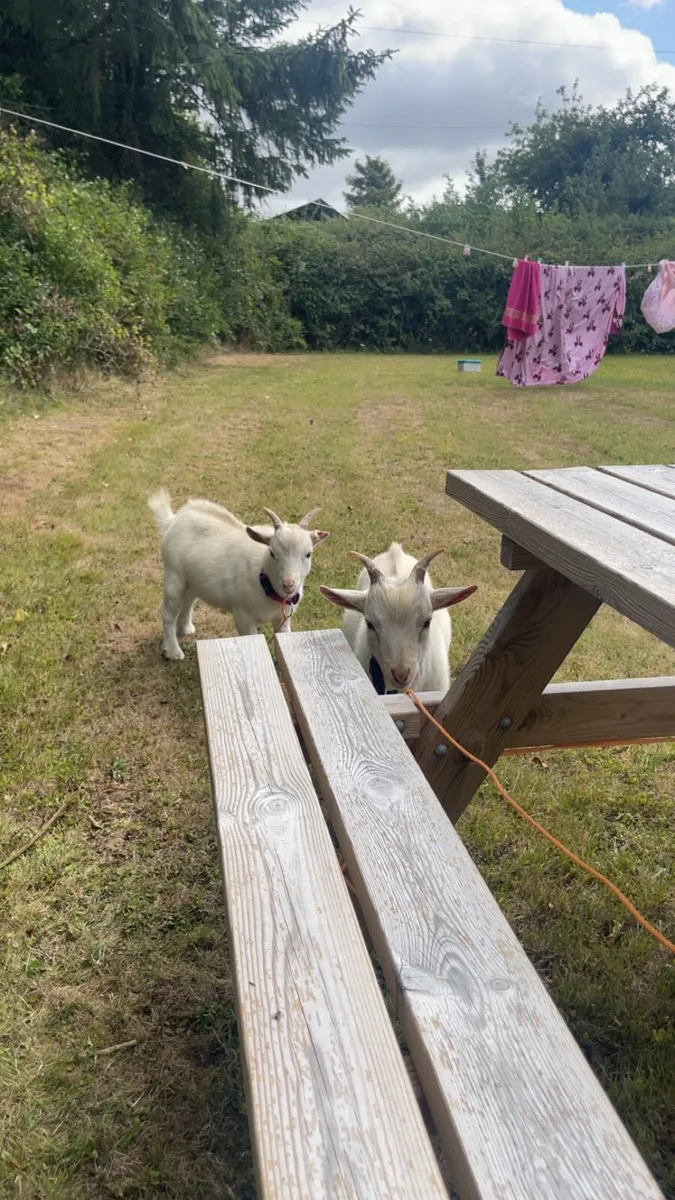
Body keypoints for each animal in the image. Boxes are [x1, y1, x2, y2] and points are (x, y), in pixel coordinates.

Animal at [148, 489, 329, 660]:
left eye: (308, 554)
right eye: (272, 553)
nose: (288, 584)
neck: (264, 581)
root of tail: (173, 520)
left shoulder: (282, 618)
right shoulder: (244, 616)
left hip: (192, 579)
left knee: (188, 600)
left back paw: (186, 628)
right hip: (174, 575)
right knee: (168, 612)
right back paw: (173, 651)